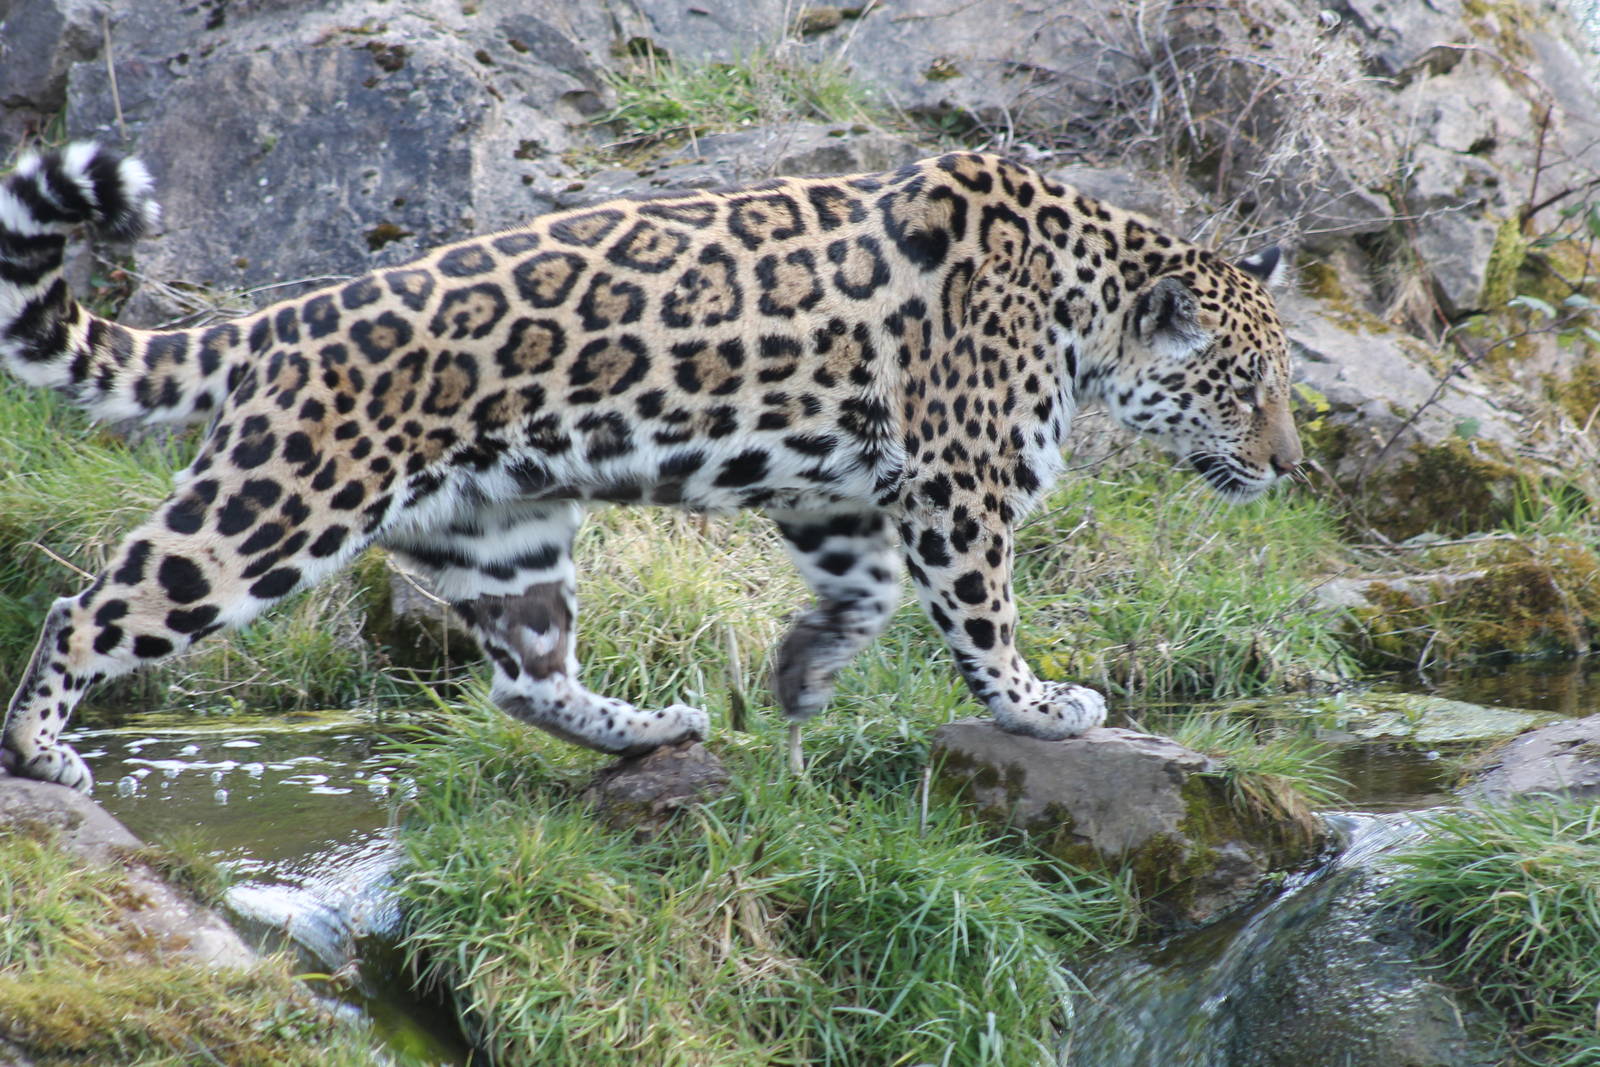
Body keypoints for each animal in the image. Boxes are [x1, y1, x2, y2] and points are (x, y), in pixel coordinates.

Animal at [0, 143, 1300, 794]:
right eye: (1243, 386)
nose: (1289, 465)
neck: (1084, 305)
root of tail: (281, 321)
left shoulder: (833, 490)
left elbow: (867, 592)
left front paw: (801, 674)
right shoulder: (959, 491)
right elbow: (982, 619)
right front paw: (1037, 705)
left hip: (500, 529)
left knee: (524, 677)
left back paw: (646, 728)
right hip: (278, 505)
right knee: (89, 603)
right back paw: (41, 749)